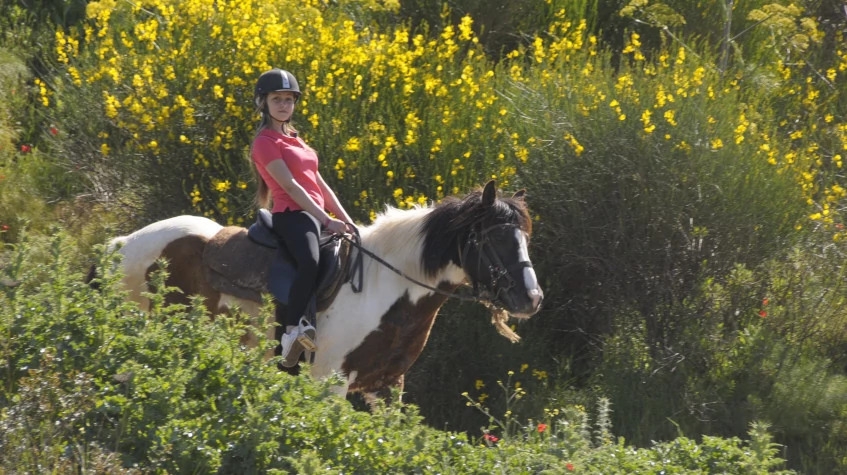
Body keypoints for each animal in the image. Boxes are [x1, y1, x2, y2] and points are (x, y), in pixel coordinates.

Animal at [92, 180, 543, 403]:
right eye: (496, 239)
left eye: (524, 238)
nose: (532, 299)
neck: (386, 288)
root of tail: (123, 244)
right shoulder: (331, 380)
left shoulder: (387, 385)